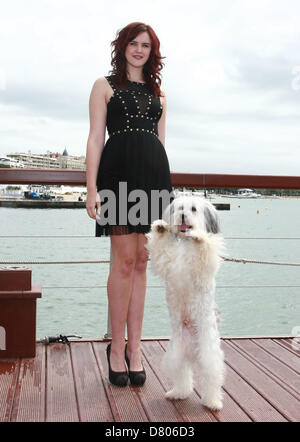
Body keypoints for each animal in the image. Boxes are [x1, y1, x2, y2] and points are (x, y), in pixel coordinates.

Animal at [145, 194, 225, 410]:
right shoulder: (166, 260)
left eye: (193, 209)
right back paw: (178, 393)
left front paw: (198, 237)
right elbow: (161, 248)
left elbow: (203, 246)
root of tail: (193, 352)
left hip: (209, 355)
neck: (184, 244)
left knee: (212, 378)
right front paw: (160, 227)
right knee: (182, 376)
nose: (182, 216)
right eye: (180, 208)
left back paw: (212, 402)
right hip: (175, 354)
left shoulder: (204, 267)